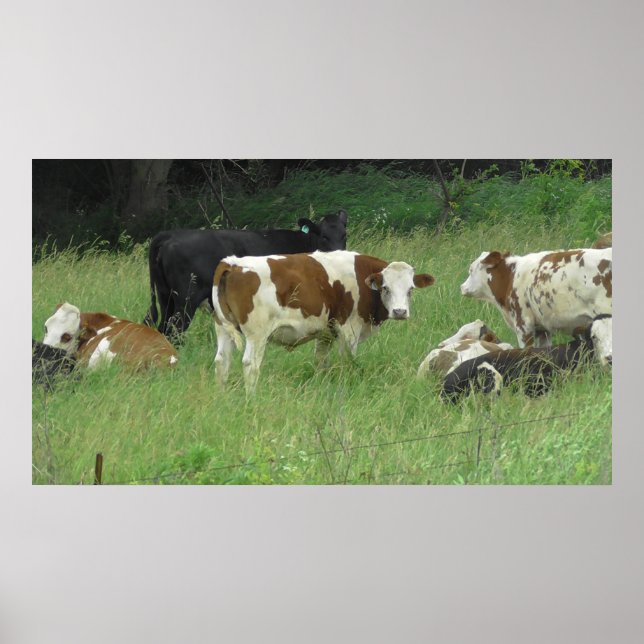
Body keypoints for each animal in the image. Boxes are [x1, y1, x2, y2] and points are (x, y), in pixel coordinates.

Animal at [144, 209, 349, 339]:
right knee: (175, 331)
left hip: (166, 296)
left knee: (163, 328)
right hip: (186, 299)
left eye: (344, 235)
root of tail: (169, 234)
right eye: (324, 236)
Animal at [212, 250, 435, 393]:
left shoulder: (326, 333)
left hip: (223, 329)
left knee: (222, 361)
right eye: (385, 288)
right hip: (257, 334)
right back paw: (252, 399)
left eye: (411, 289)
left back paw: (223, 396)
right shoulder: (349, 329)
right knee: (250, 365)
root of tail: (232, 263)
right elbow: (347, 361)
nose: (400, 311)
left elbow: (320, 362)